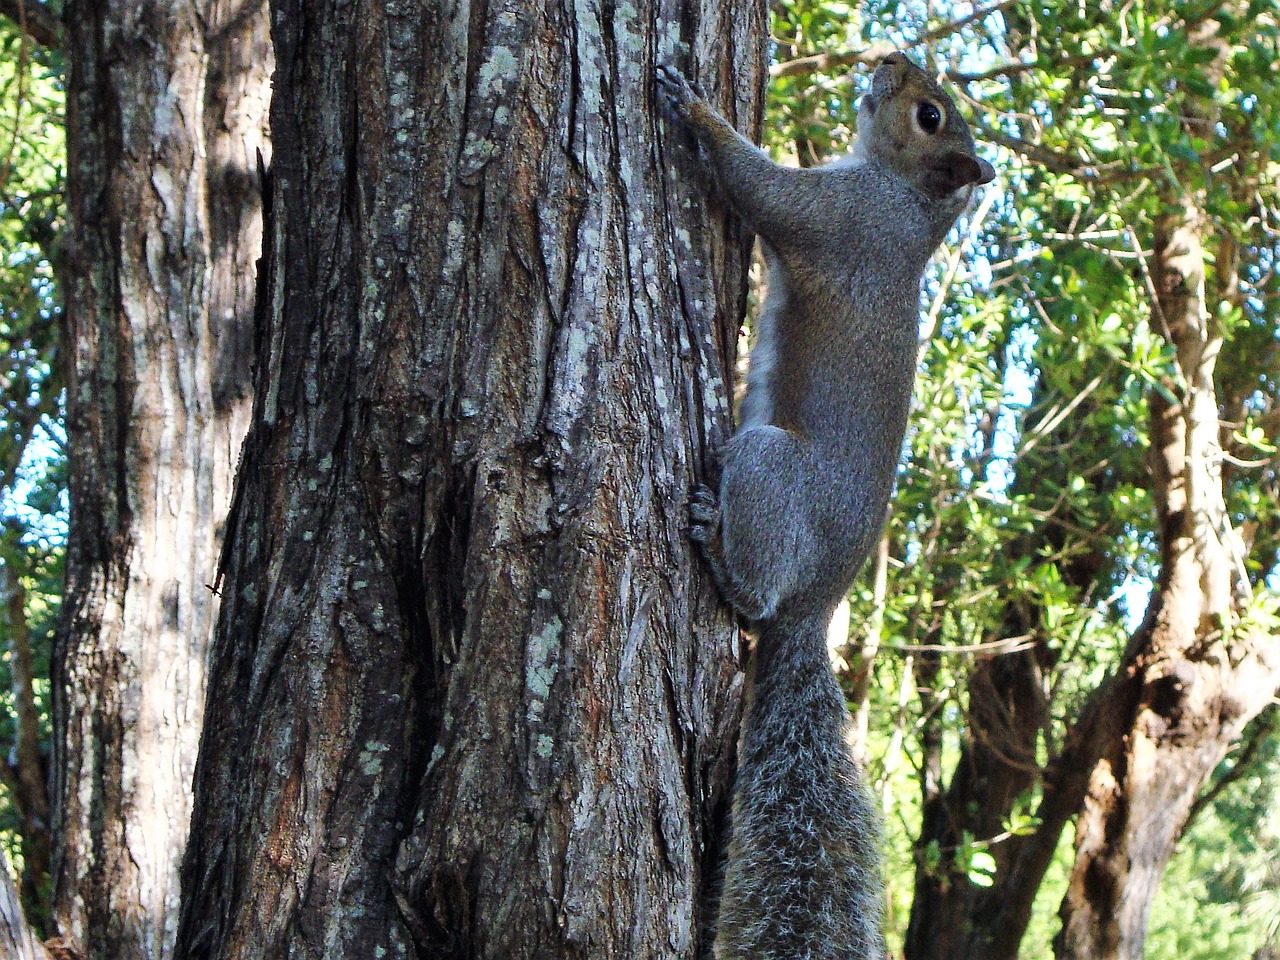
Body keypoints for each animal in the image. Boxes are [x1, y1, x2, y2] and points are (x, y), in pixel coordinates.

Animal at [655, 54, 993, 960]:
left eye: (930, 114)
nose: (888, 58)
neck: (906, 201)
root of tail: (816, 605)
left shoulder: (836, 219)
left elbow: (762, 187)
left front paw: (694, 108)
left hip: (769, 468)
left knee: (756, 589)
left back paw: (718, 549)